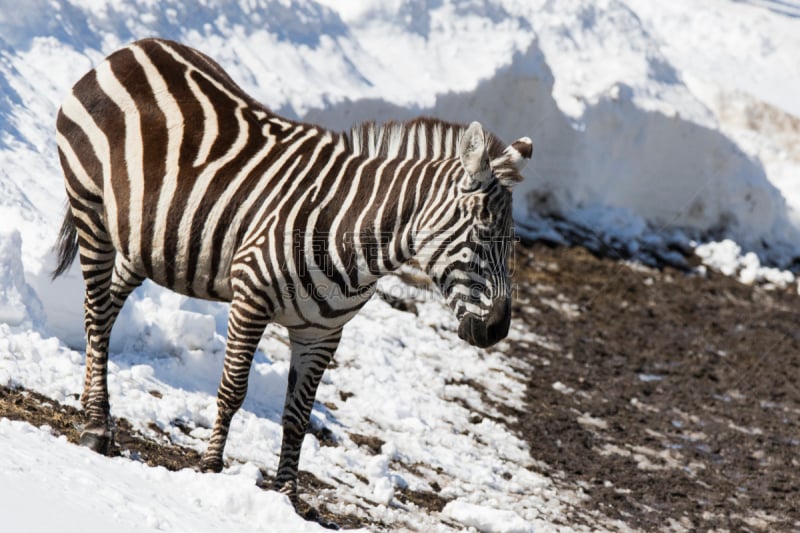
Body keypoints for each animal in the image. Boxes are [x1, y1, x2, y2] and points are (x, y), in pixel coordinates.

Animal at [54, 38, 532, 502]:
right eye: (481, 232)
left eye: (511, 241)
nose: (497, 329)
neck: (351, 233)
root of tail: (133, 48)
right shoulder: (250, 299)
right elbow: (233, 389)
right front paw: (210, 468)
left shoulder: (323, 333)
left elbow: (298, 416)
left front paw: (286, 493)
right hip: (91, 206)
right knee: (97, 312)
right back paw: (94, 425)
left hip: (143, 239)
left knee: (105, 311)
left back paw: (95, 407)